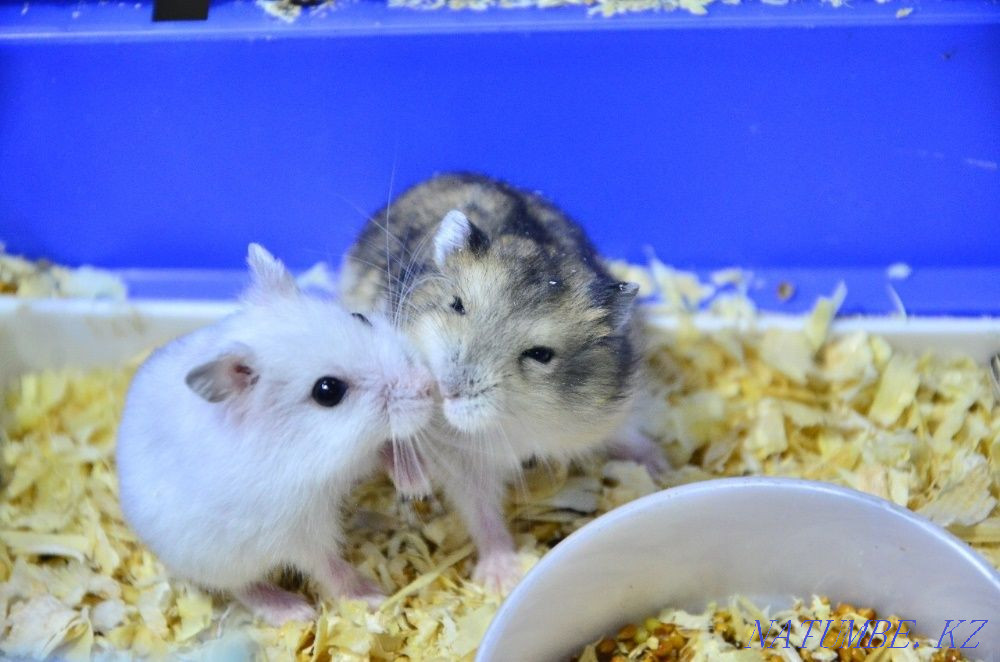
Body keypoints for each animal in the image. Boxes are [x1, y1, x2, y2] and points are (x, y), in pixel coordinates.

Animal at [115, 244, 434, 625]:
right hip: (218, 561)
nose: (428, 386)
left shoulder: (357, 454)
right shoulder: (298, 532)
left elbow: (385, 448)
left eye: (360, 317)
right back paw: (292, 610)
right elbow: (326, 565)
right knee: (242, 588)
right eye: (328, 391)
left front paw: (418, 485)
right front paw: (372, 596)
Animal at [340, 173, 664, 592]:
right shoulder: (461, 459)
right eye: (456, 304)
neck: (517, 419)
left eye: (540, 354)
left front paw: (660, 465)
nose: (446, 390)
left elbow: (625, 432)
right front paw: (501, 579)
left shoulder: (609, 408)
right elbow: (481, 509)